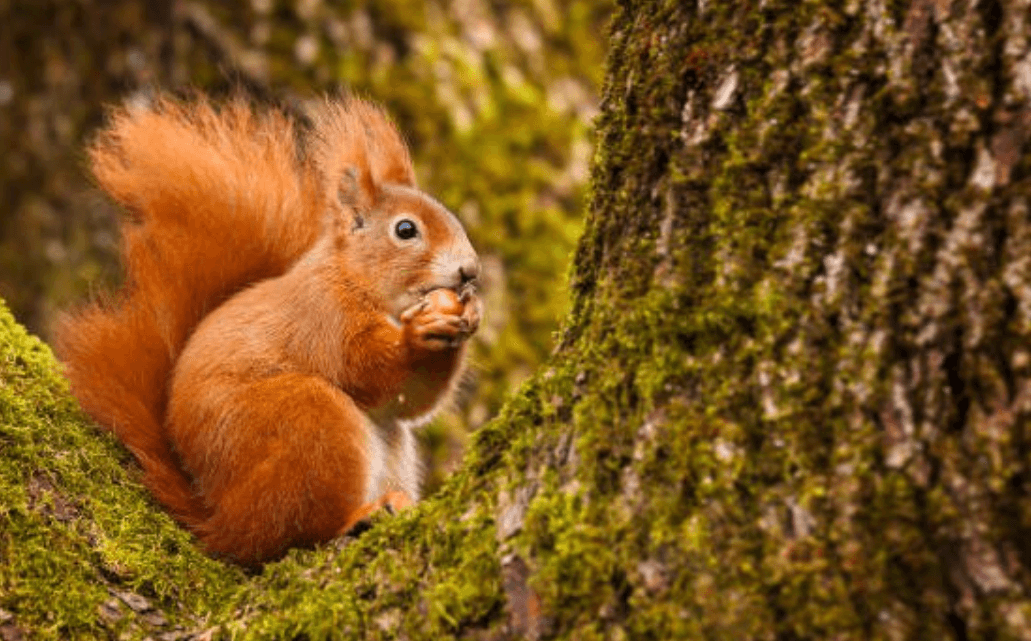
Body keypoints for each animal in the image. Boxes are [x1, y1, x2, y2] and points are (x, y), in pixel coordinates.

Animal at [53, 94, 481, 565]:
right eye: (406, 230)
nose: (470, 271)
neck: (356, 279)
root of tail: (220, 521)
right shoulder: (323, 316)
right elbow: (363, 367)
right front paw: (416, 334)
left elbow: (411, 401)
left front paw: (469, 315)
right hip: (308, 424)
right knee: (290, 534)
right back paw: (357, 517)